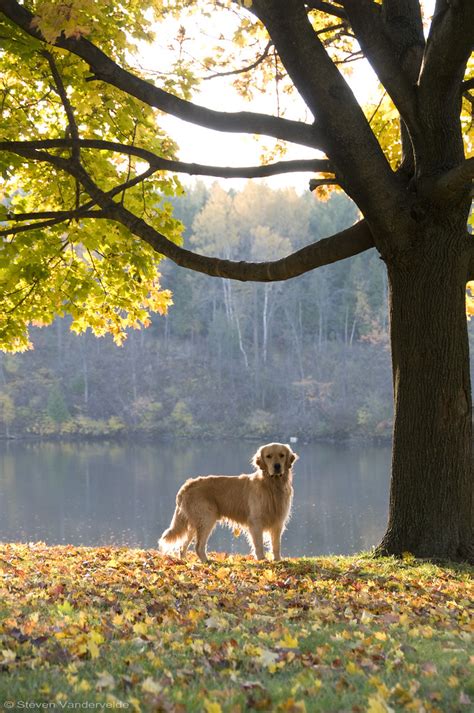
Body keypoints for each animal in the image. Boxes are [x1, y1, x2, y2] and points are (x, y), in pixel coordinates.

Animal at [161, 440, 298, 560]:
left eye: (282, 455)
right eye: (268, 456)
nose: (277, 466)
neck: (272, 485)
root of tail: (187, 485)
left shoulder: (278, 522)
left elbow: (276, 546)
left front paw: (278, 560)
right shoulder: (256, 522)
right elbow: (259, 545)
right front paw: (262, 560)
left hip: (195, 523)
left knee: (183, 546)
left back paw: (185, 561)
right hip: (206, 518)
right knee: (198, 546)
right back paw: (208, 562)